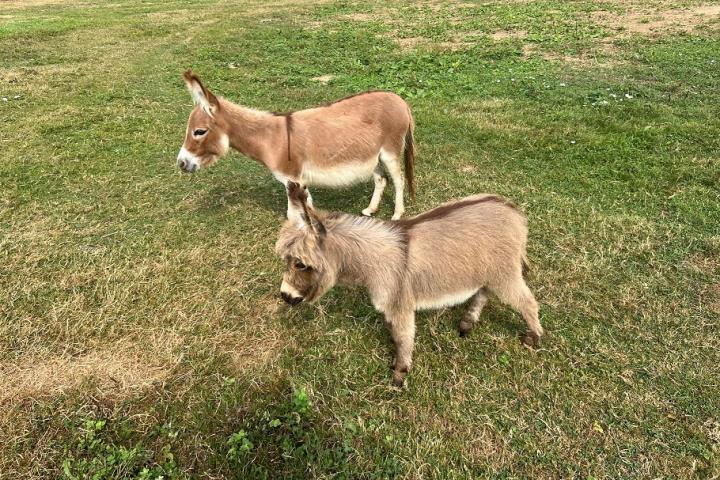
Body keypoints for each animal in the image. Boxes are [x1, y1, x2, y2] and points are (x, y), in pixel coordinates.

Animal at [278, 181, 544, 386]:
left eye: (300, 264)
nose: (285, 296)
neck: (373, 260)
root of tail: (513, 210)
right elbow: (395, 333)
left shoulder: (401, 305)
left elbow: (403, 338)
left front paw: (399, 374)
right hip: (488, 271)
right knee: (483, 293)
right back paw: (467, 323)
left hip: (504, 274)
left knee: (527, 302)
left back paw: (533, 337)